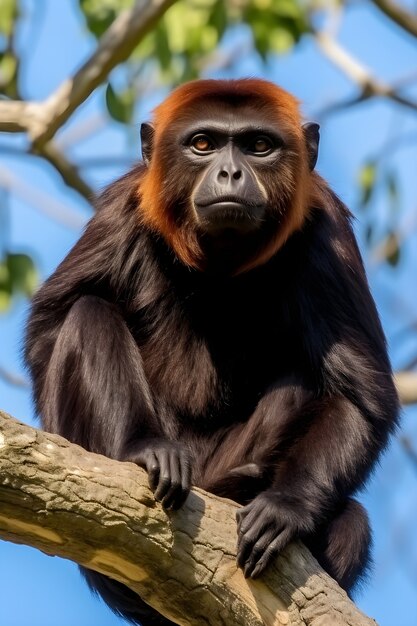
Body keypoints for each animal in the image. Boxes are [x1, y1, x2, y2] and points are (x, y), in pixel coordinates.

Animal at [24, 79, 398, 624]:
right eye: (203, 144)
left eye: (258, 146)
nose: (229, 172)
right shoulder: (124, 205)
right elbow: (49, 326)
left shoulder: (329, 230)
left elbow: (361, 395)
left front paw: (288, 504)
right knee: (88, 315)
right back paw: (146, 450)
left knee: (350, 513)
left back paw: (244, 485)